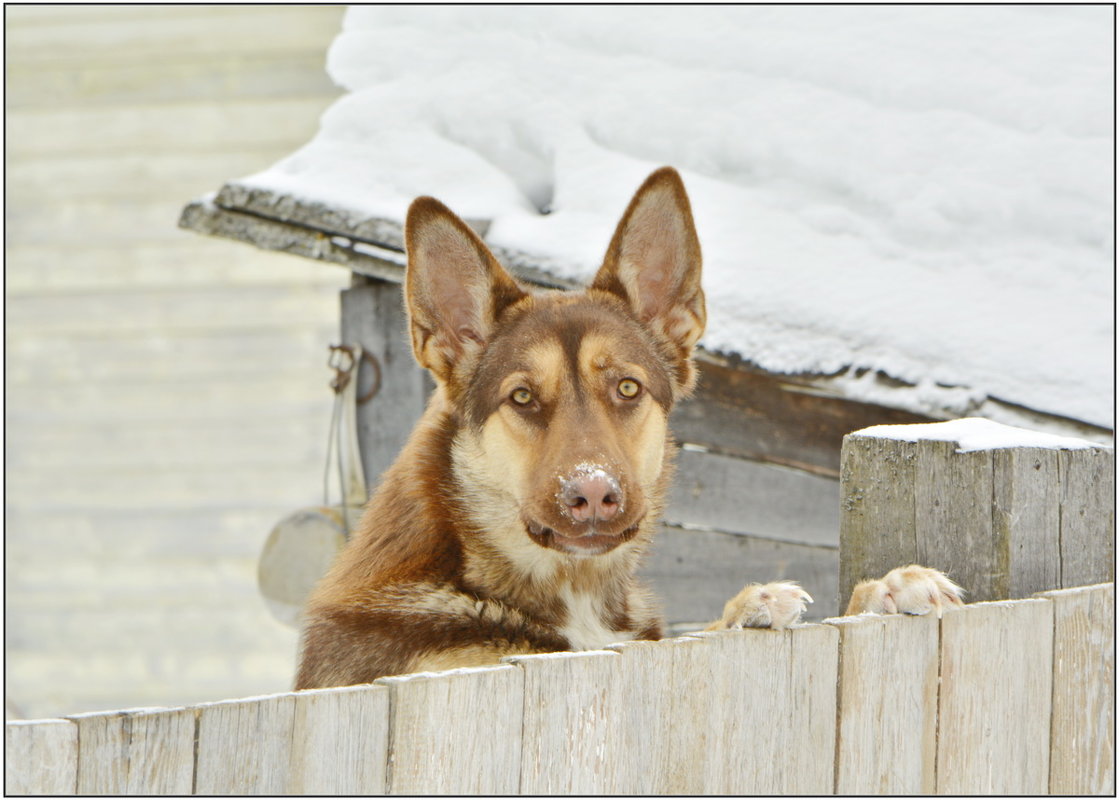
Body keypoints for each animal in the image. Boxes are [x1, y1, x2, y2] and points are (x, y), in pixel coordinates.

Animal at [295, 167, 962, 689]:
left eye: (627, 388)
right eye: (522, 397)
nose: (593, 493)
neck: (574, 591)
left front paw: (884, 591)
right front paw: (748, 606)